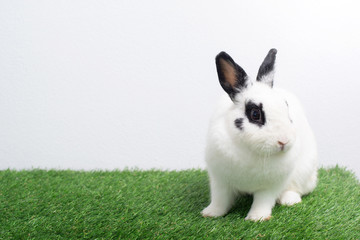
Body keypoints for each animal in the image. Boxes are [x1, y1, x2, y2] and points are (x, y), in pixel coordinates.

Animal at [202, 48, 318, 221]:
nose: (284, 141)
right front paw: (210, 213)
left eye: (286, 108)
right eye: (255, 114)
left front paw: (257, 218)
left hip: (304, 172)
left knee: (296, 188)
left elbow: (263, 201)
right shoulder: (219, 180)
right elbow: (220, 200)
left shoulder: (270, 186)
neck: (251, 151)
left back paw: (290, 200)